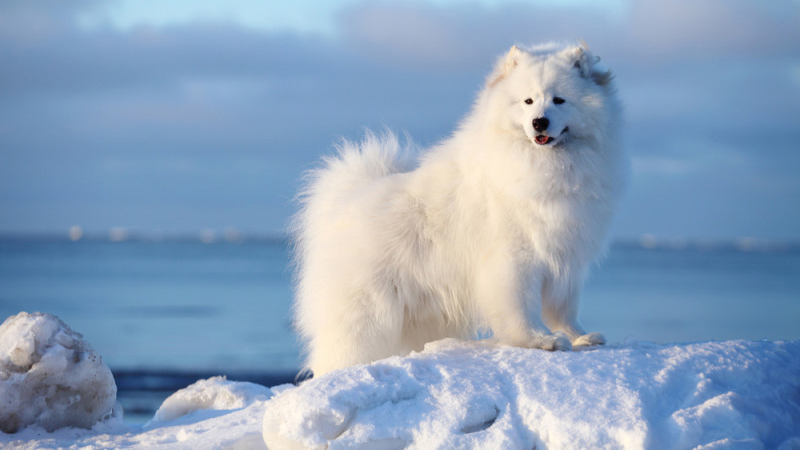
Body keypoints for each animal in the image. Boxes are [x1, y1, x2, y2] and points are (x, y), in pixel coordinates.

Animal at [292, 44, 624, 378]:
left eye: (559, 100)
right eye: (528, 101)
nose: (539, 122)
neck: (548, 165)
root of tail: (349, 198)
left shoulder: (567, 257)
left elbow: (564, 308)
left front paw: (579, 336)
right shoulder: (516, 258)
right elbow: (521, 307)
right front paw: (539, 340)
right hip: (367, 316)